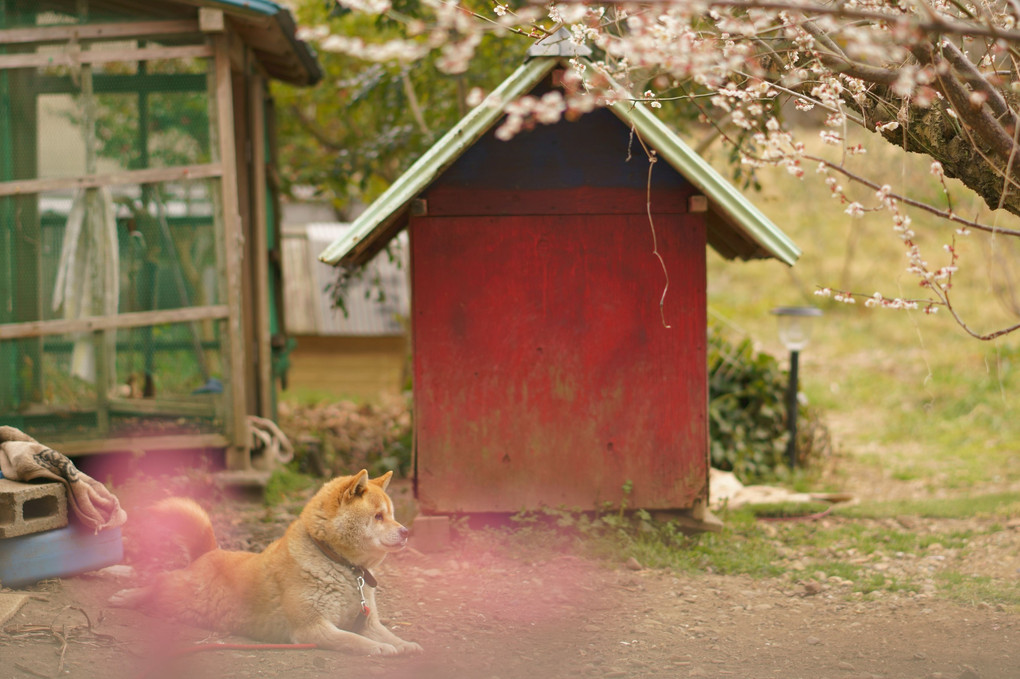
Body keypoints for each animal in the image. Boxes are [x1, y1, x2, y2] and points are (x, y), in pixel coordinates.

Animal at [112, 468, 426, 652]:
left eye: (393, 514)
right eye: (378, 516)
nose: (406, 531)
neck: (339, 564)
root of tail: (211, 552)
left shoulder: (367, 621)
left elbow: (387, 635)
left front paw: (406, 644)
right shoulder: (312, 628)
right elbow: (353, 640)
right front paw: (380, 649)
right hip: (177, 596)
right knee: (157, 583)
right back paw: (127, 596)